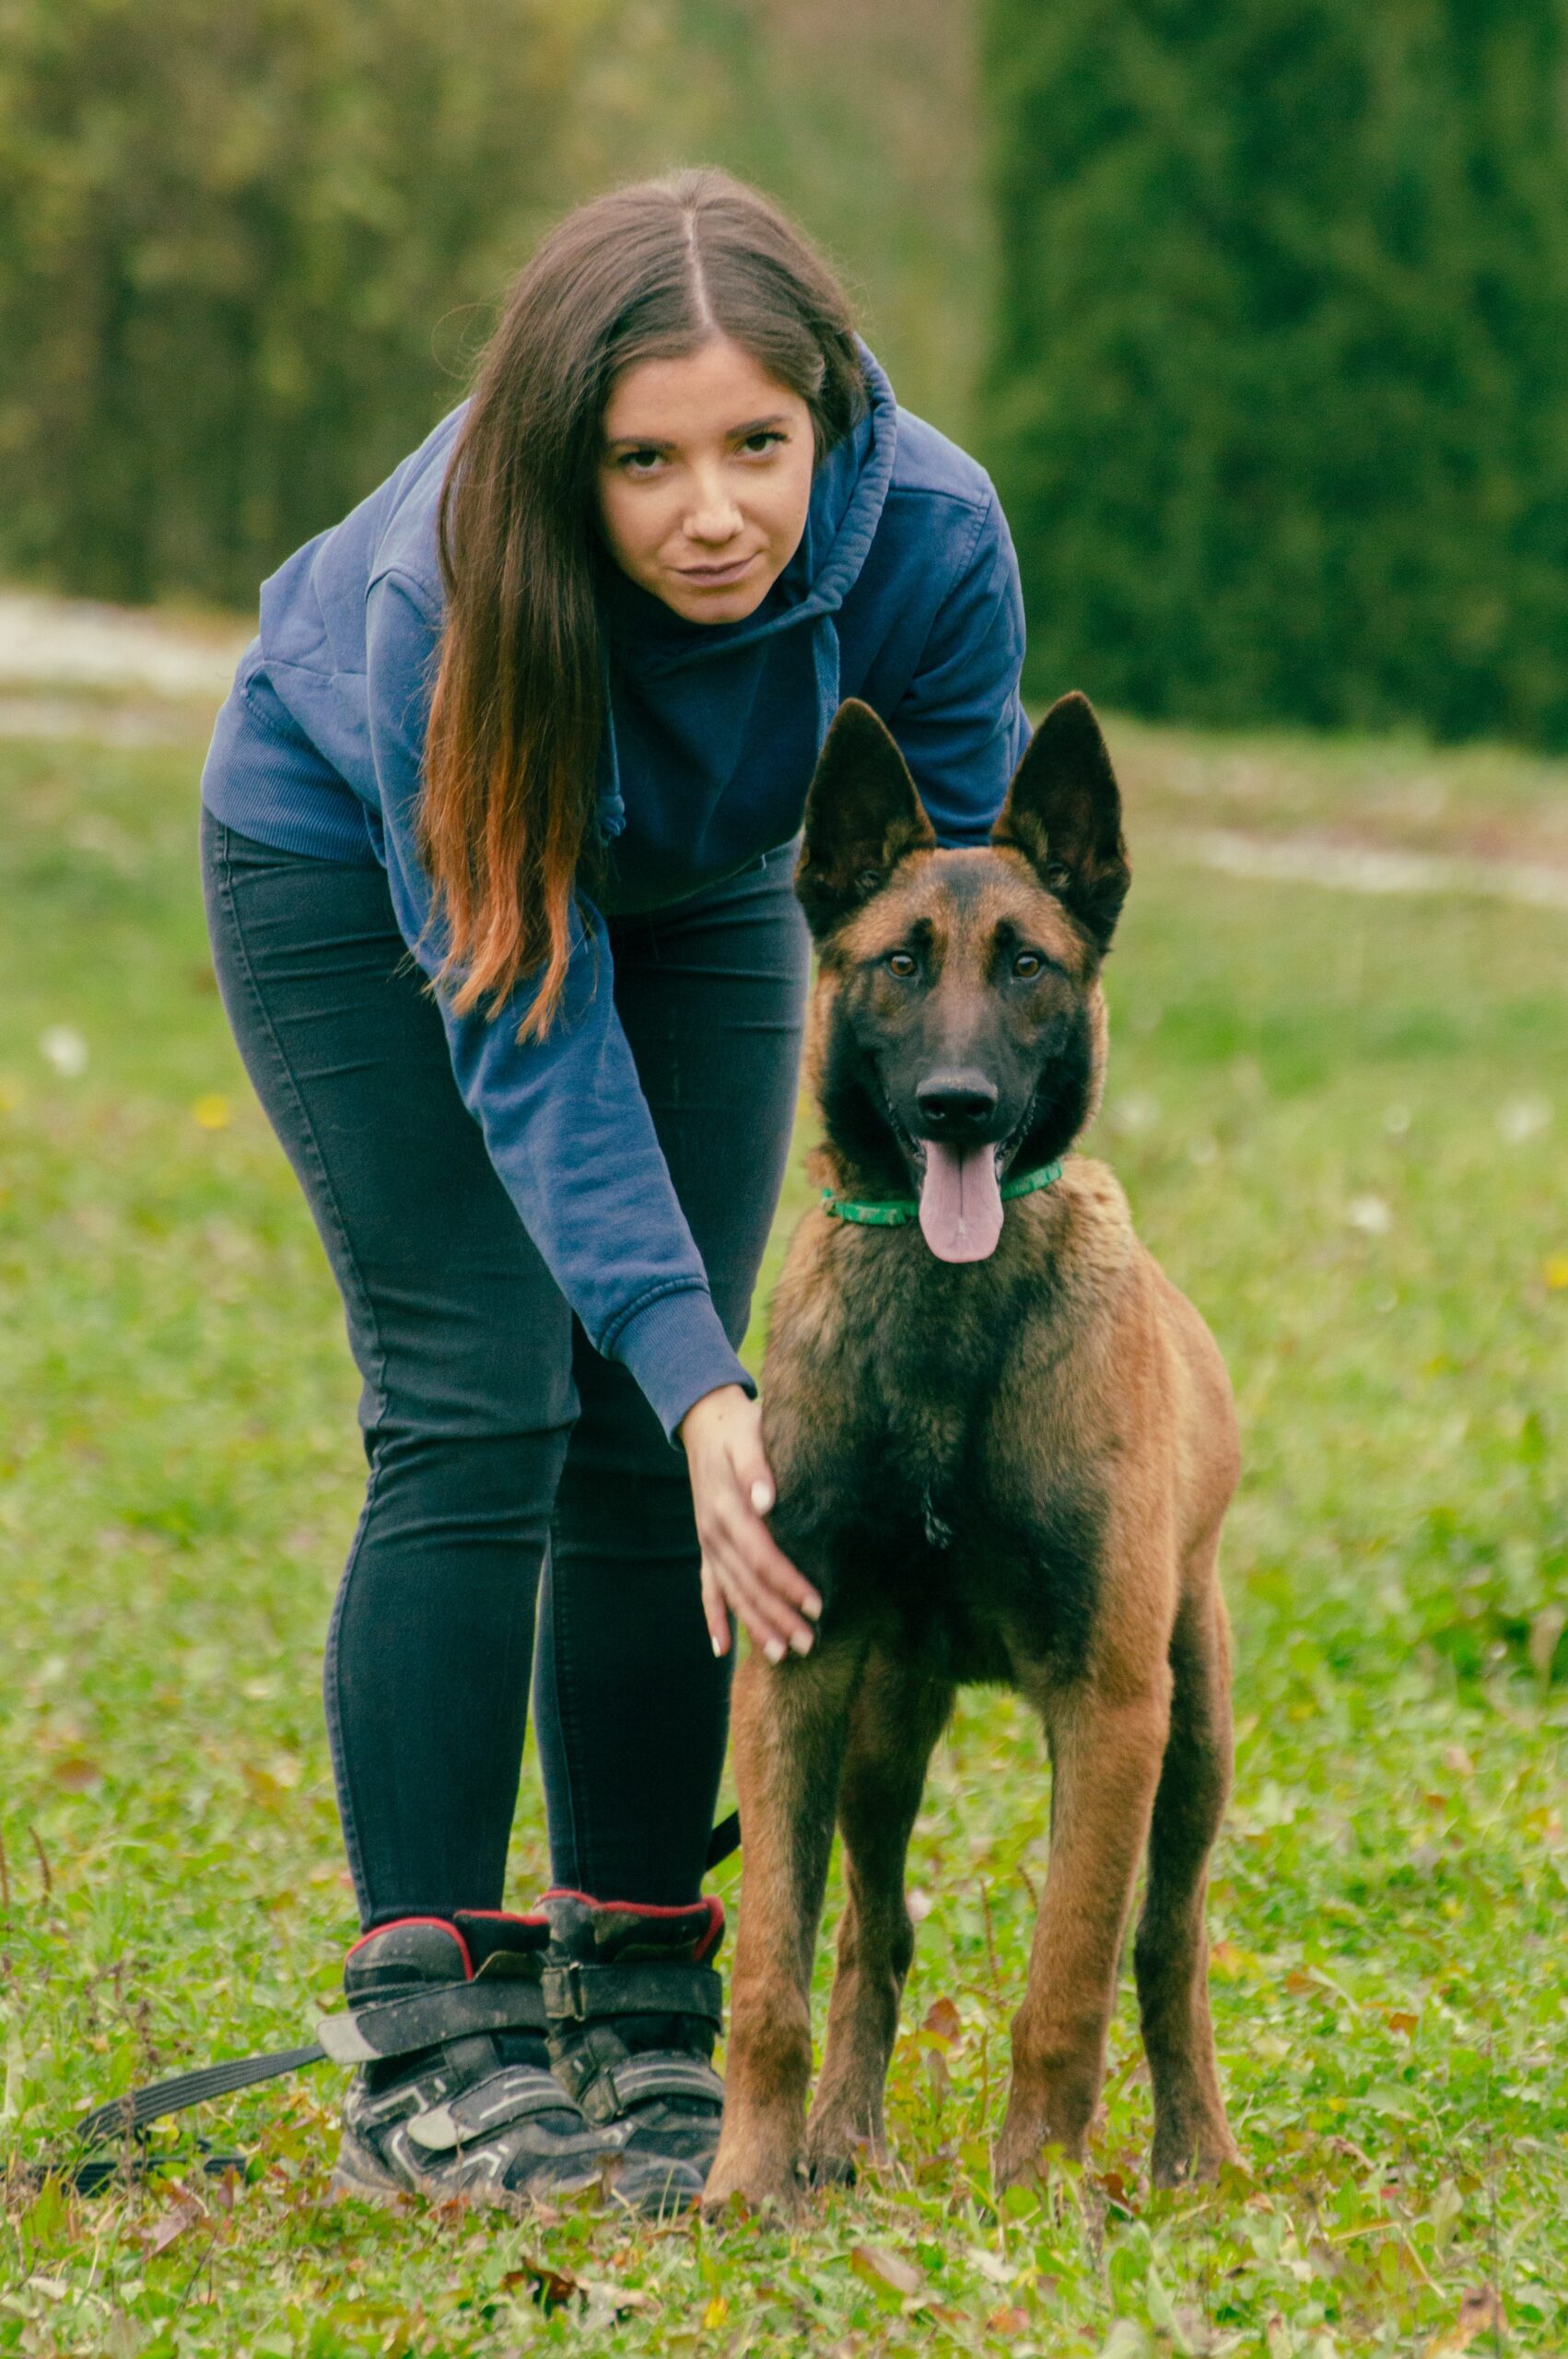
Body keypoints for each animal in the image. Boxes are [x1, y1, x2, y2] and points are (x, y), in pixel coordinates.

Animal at [707, 688, 1235, 2208]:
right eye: (897, 965)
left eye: (1027, 968)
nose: (954, 1106)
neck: (948, 1345)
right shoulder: (794, 1672)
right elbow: (770, 1971)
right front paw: (743, 2182)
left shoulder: (1109, 1708)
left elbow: (1067, 1983)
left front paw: (1035, 2200)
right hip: (883, 1734)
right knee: (871, 1932)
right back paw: (837, 2139)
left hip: (1193, 1735)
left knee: (1165, 1943)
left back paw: (1196, 2155)